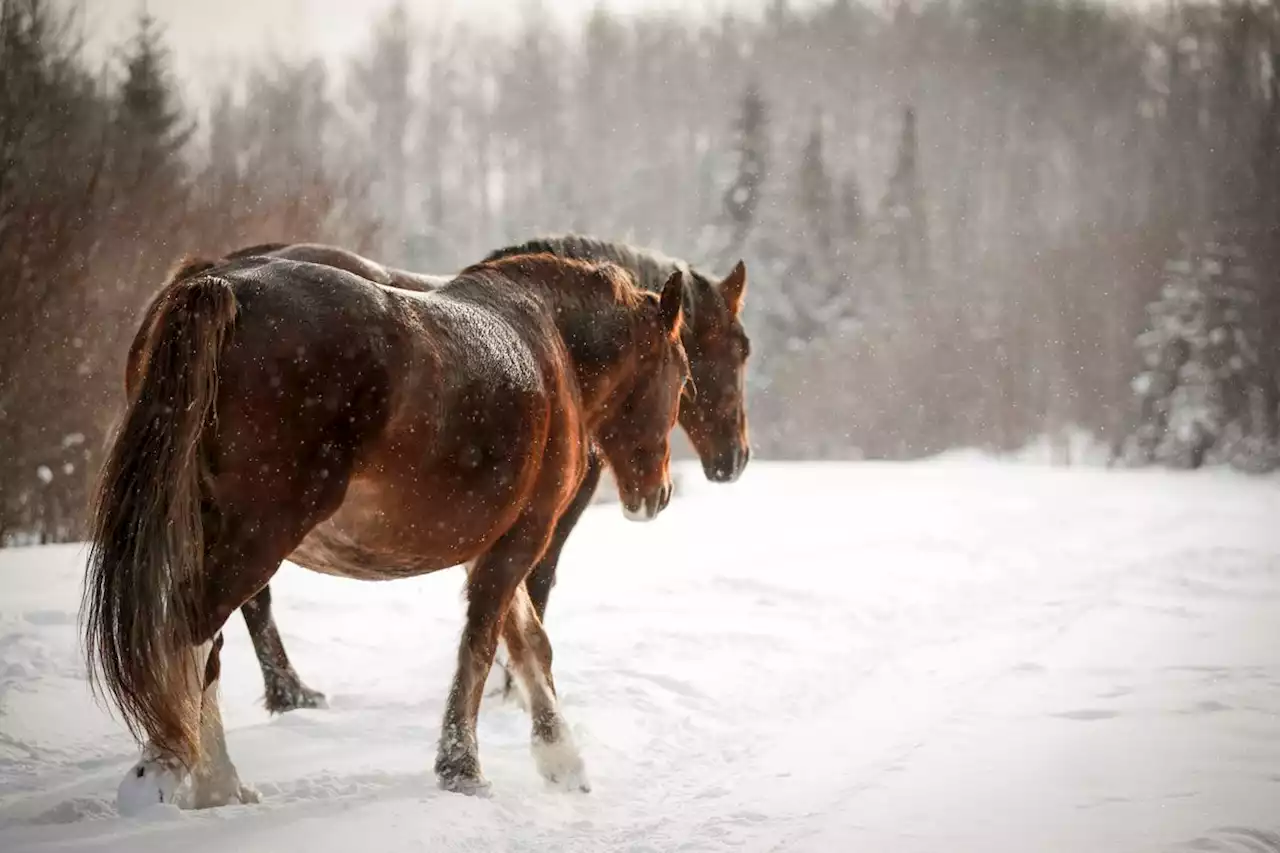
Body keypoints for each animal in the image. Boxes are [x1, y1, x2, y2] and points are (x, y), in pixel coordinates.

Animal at [85, 249, 696, 809]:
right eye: (684, 377)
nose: (659, 495)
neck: (549, 340)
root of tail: (221, 287)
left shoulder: (488, 546)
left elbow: (529, 645)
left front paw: (561, 761)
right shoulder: (523, 537)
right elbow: (480, 645)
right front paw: (463, 768)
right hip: (256, 537)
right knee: (190, 633)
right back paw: (195, 777)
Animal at [209, 233, 747, 712]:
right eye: (740, 350)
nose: (736, 459)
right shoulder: (548, 519)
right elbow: (535, 586)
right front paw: (515, 687)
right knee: (252, 598)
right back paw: (290, 691)